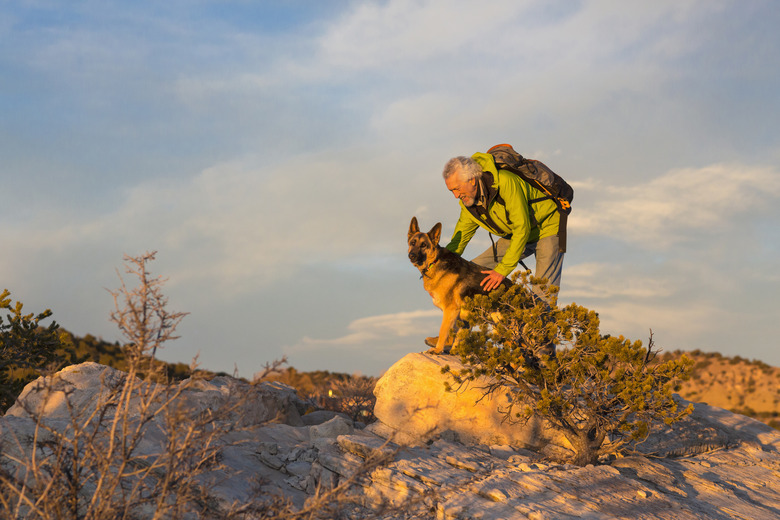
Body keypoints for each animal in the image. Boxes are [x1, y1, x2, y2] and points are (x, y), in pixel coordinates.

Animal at [408, 215, 512, 354]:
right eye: (412, 243)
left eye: (424, 245)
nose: (411, 256)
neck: (434, 262)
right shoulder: (459, 314)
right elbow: (456, 333)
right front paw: (453, 350)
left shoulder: (450, 310)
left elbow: (443, 331)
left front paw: (438, 349)